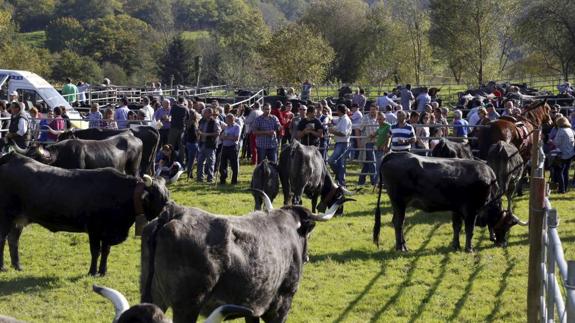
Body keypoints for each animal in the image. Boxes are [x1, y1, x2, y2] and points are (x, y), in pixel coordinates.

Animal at [0, 154, 170, 276]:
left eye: (167, 195)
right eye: (159, 197)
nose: (167, 213)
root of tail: (13, 157)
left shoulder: (108, 232)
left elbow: (106, 251)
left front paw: (103, 271)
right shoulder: (94, 229)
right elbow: (96, 251)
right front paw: (92, 272)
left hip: (18, 219)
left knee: (13, 240)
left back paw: (17, 266)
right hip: (5, 216)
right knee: (2, 239)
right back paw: (3, 267)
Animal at [142, 191, 354, 322]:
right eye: (309, 233)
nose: (307, 257)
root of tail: (173, 212)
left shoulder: (254, 306)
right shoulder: (281, 304)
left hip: (153, 297)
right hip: (187, 307)